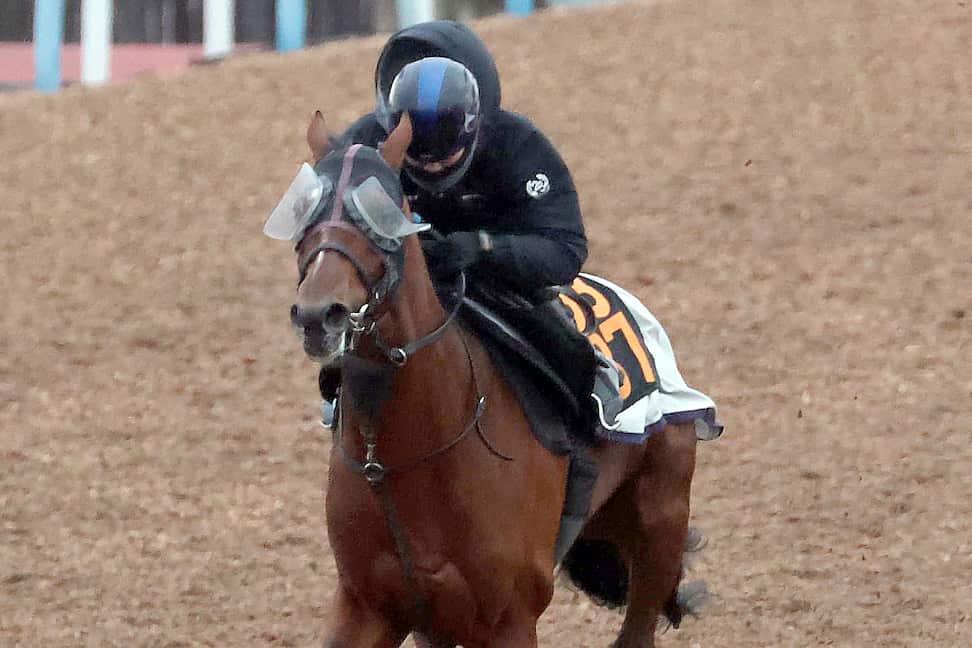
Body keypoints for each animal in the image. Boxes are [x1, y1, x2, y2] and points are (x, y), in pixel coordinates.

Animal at [275, 111, 706, 648]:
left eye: (382, 212)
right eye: (303, 209)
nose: (319, 315)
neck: (399, 458)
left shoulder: (509, 617)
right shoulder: (369, 606)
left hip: (659, 523)